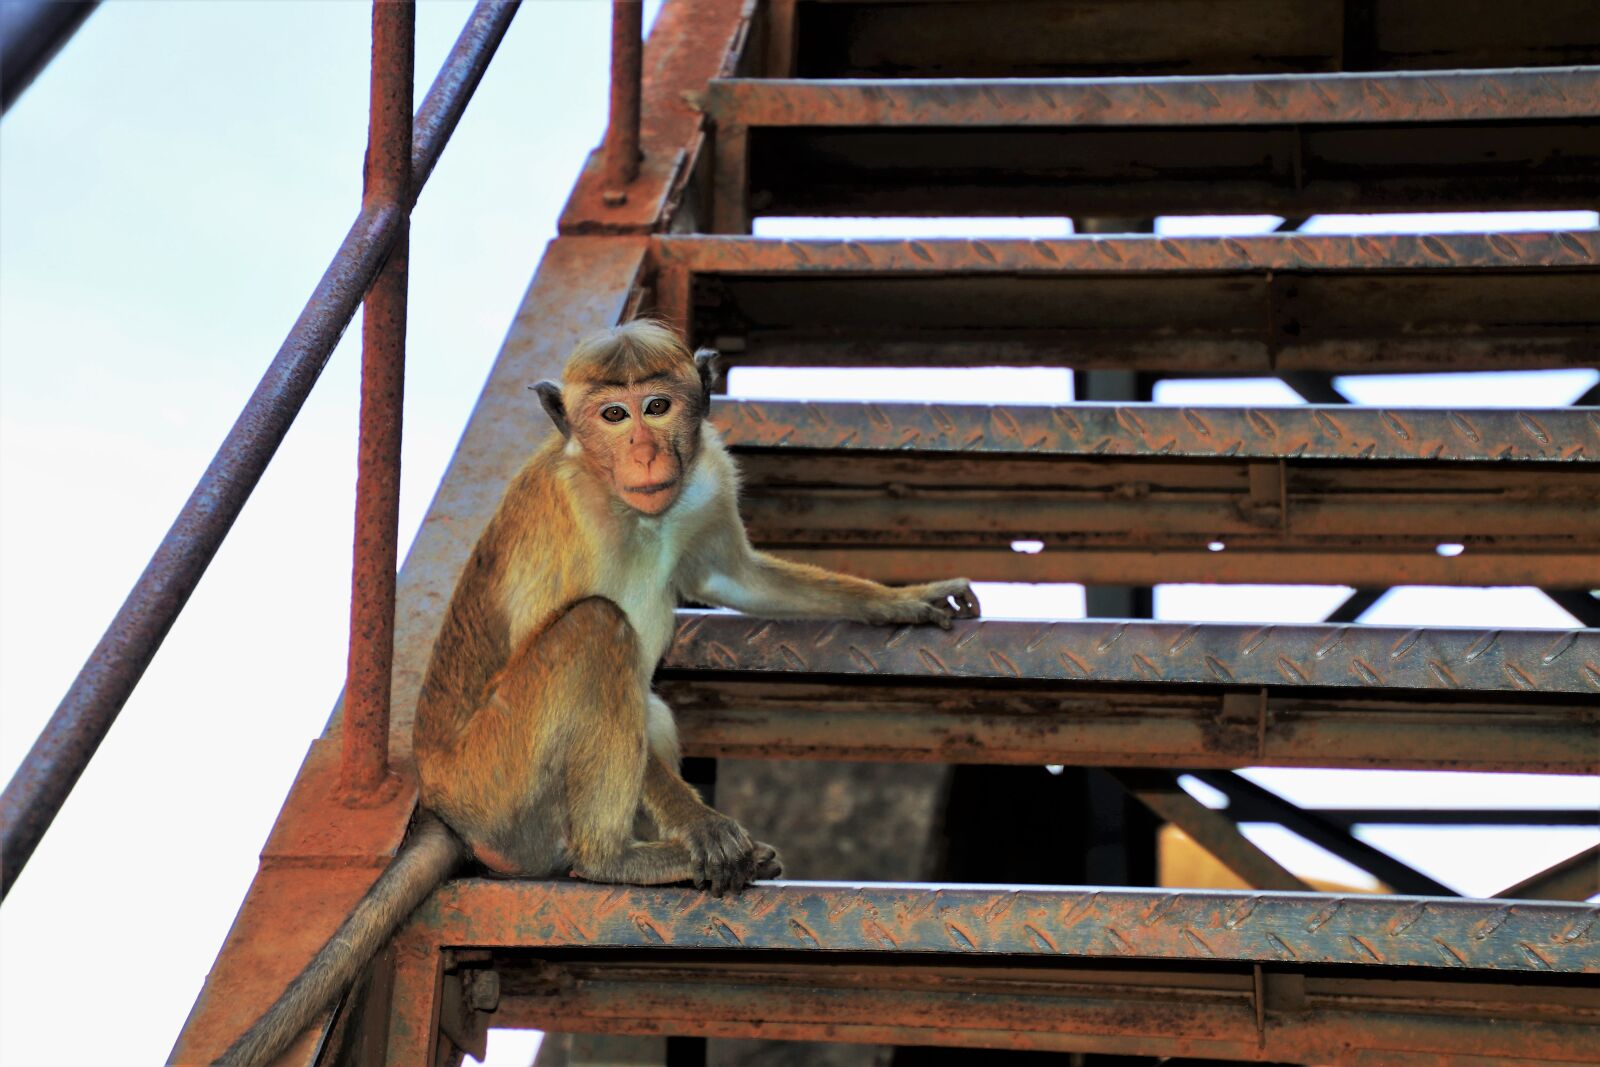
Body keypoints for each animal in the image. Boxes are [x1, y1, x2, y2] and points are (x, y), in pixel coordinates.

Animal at [216, 320, 980, 1067]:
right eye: (613, 415)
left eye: (658, 405)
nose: (642, 450)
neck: (634, 508)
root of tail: (441, 803)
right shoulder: (569, 513)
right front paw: (700, 826)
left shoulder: (706, 478)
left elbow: (735, 577)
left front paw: (902, 599)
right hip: (499, 780)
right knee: (595, 630)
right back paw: (618, 857)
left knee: (650, 704)